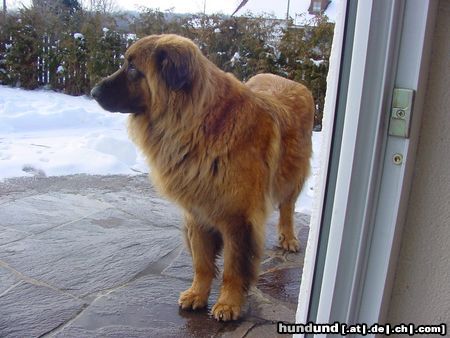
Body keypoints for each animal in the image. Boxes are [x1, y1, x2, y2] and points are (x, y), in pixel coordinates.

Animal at [91, 34, 312, 322]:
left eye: (132, 68)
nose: (93, 92)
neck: (201, 124)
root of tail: (291, 81)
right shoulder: (196, 211)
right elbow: (202, 262)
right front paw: (197, 294)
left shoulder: (238, 218)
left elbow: (233, 267)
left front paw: (228, 304)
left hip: (292, 178)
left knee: (287, 208)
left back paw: (288, 238)